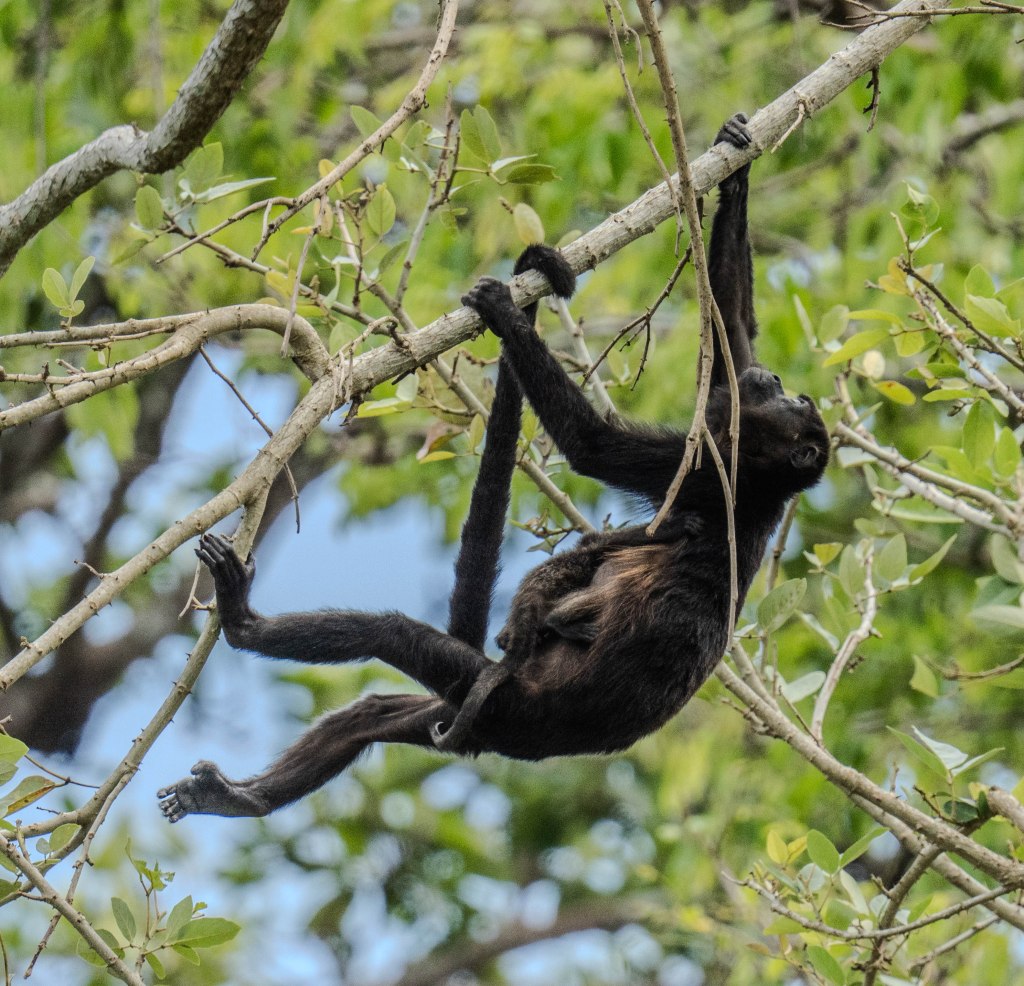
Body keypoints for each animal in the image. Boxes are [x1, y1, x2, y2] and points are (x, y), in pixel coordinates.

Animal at [157, 113, 829, 821]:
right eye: (798, 400)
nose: (783, 384)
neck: (761, 480)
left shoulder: (703, 465)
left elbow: (591, 445)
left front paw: (508, 316)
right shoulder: (727, 434)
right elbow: (731, 332)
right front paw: (737, 162)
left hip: (501, 699)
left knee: (391, 636)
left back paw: (243, 624)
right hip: (466, 718)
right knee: (371, 716)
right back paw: (238, 797)